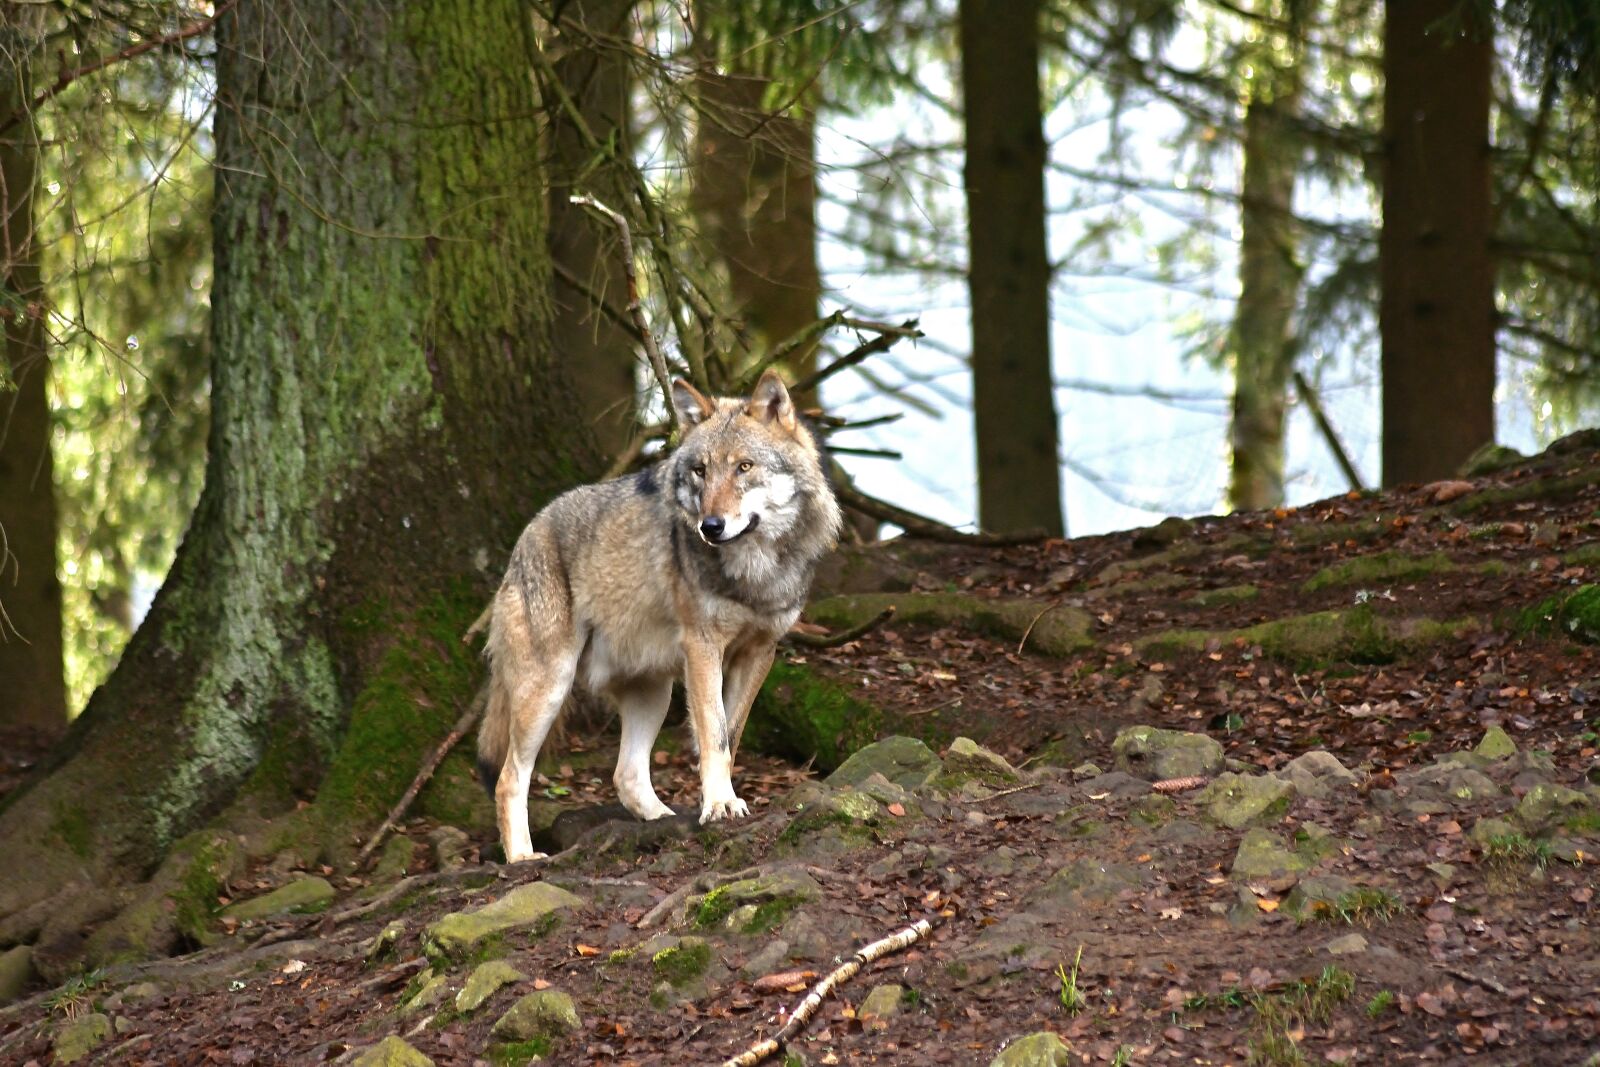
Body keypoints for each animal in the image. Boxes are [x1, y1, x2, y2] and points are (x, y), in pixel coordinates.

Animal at [475, 370, 843, 862]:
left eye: (744, 467)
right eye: (701, 470)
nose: (710, 527)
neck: (755, 571)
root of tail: (527, 534)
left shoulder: (760, 652)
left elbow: (730, 736)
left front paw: (718, 801)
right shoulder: (703, 647)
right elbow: (713, 733)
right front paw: (719, 804)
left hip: (654, 692)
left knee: (626, 776)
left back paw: (664, 821)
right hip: (549, 688)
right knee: (508, 778)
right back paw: (522, 857)